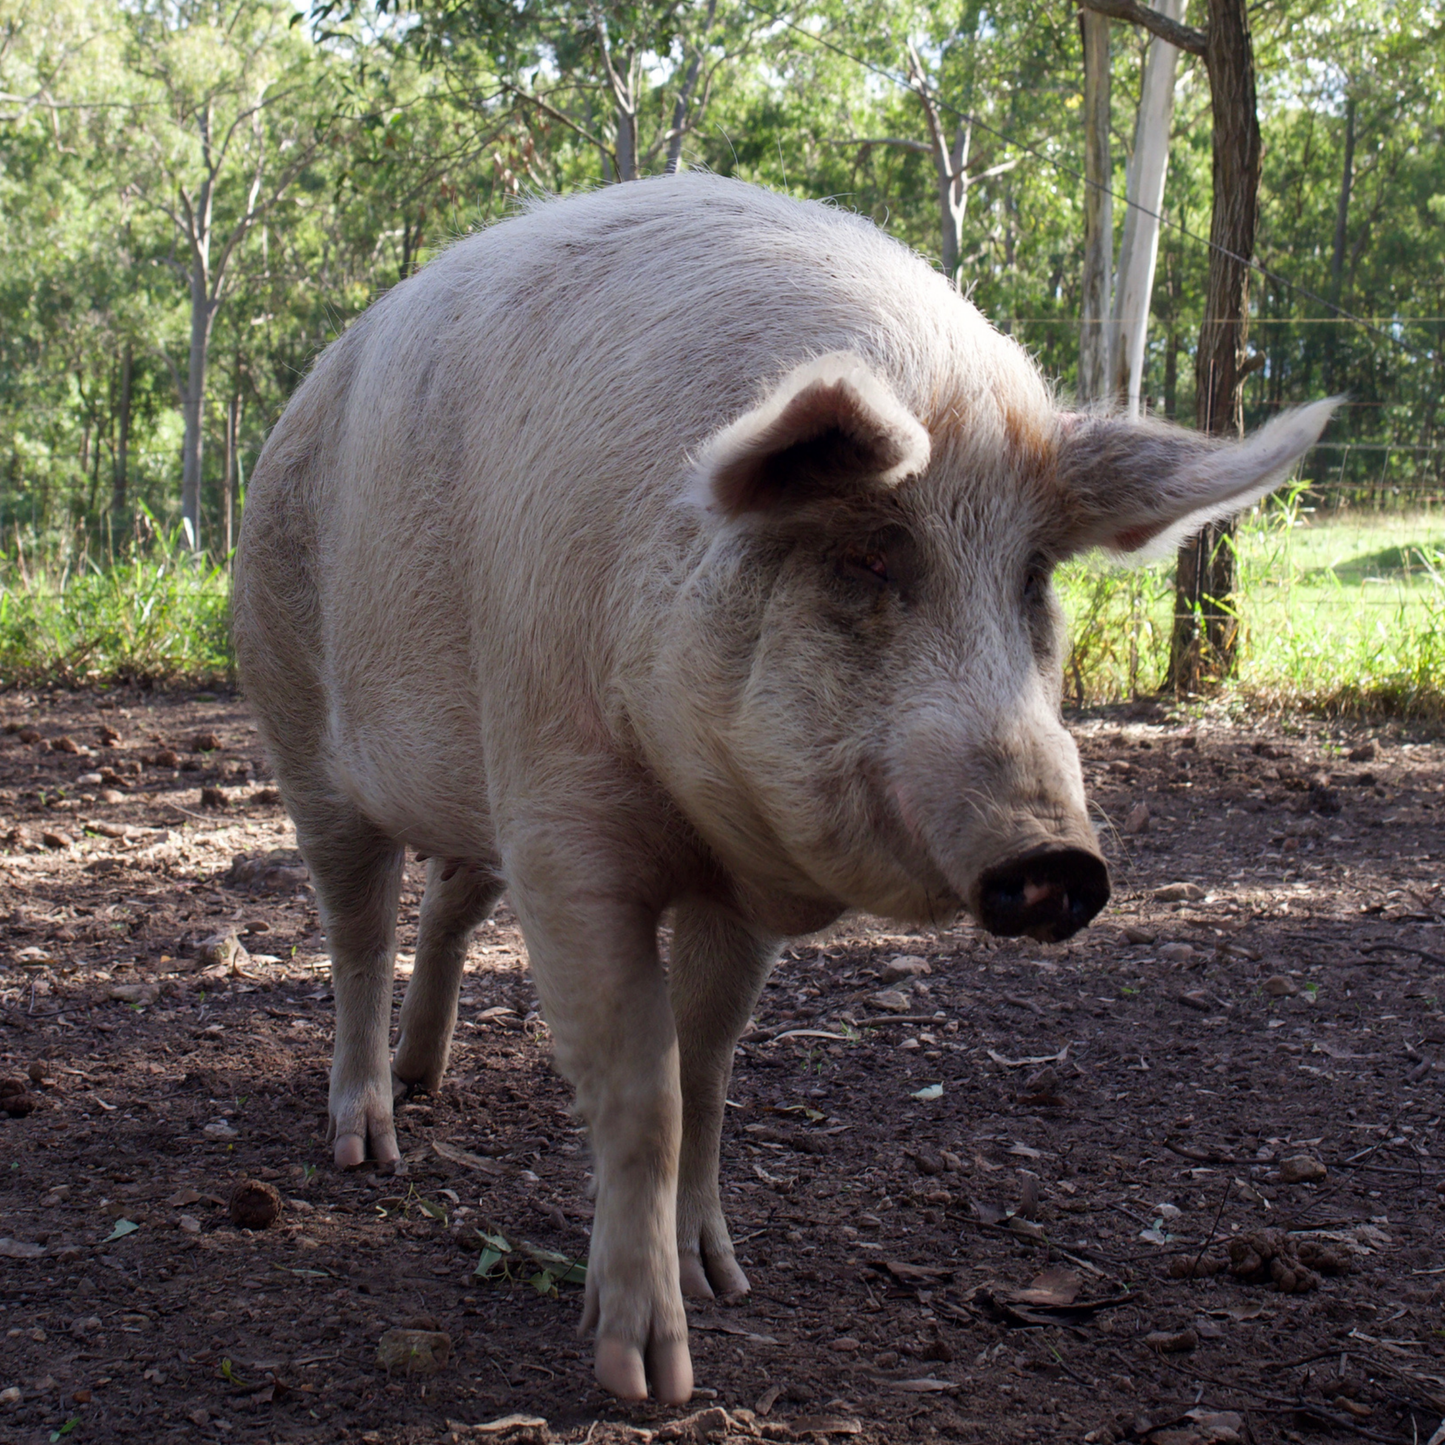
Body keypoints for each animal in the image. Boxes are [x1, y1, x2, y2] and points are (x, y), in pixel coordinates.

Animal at [232, 173, 1331, 1405]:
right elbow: (642, 1087)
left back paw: (427, 1079)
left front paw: (725, 1281)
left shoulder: (730, 872)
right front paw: (646, 1377)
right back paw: (367, 1143)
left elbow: (709, 1067)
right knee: (356, 928)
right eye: (865, 557)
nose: (1056, 858)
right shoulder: (562, 827)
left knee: (448, 901)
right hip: (294, 715)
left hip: (468, 794)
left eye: (1032, 577)